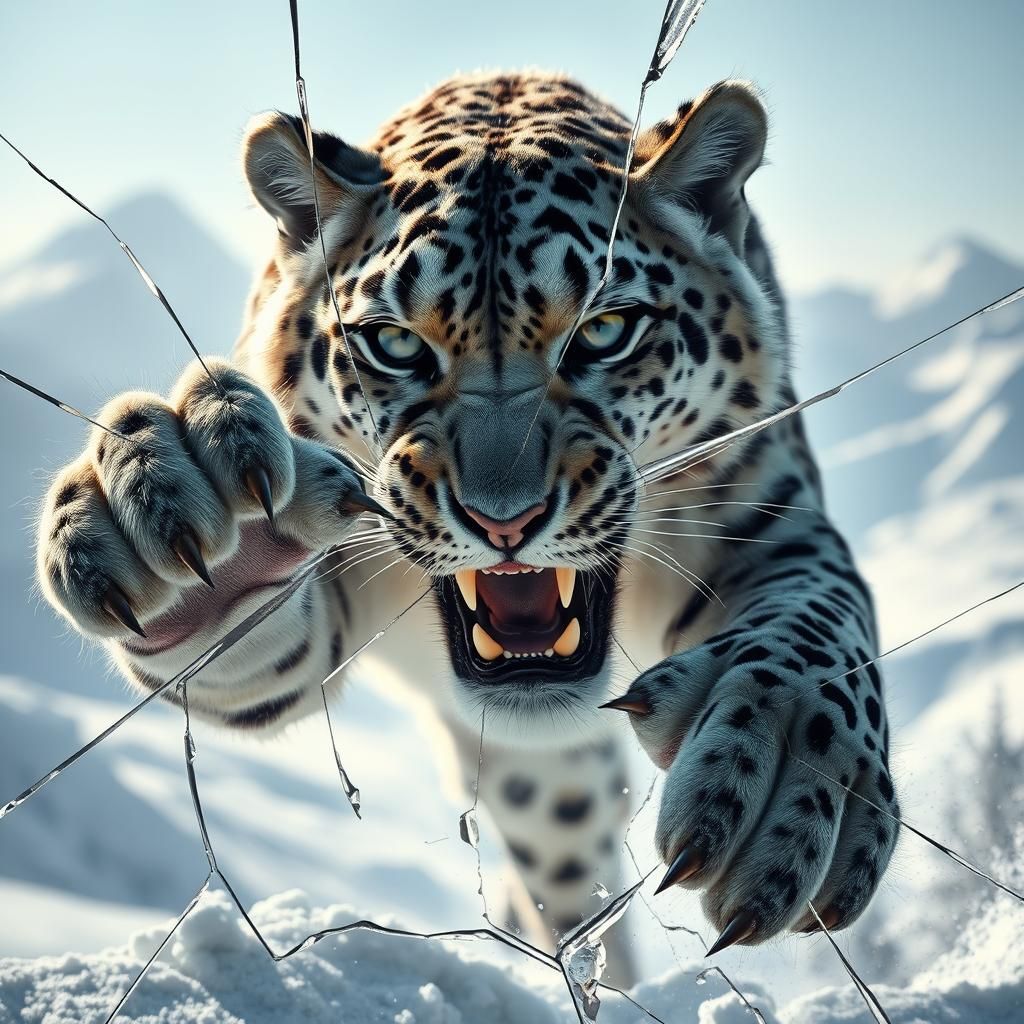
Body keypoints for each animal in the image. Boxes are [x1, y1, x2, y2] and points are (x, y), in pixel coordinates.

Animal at [36, 71, 898, 981]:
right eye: (392, 344)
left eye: (605, 330)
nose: (504, 520)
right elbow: (243, 644)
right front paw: (184, 497)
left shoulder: (772, 516)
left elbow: (815, 628)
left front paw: (783, 780)